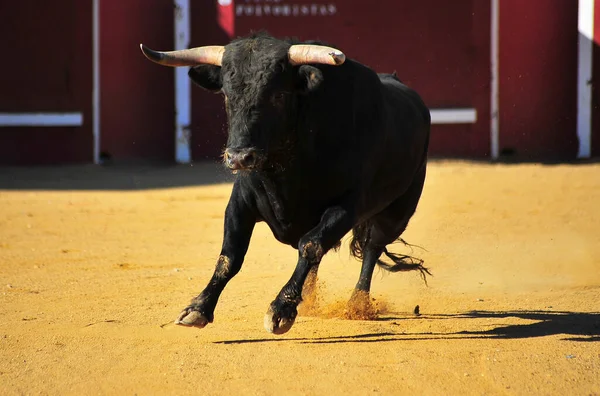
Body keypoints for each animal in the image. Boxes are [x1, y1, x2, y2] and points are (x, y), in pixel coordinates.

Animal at [141, 34, 432, 334]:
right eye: (226, 95)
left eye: (278, 95)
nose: (239, 157)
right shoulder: (240, 203)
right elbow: (230, 255)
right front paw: (198, 308)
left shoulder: (347, 206)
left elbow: (311, 245)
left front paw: (281, 309)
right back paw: (311, 300)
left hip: (398, 211)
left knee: (372, 248)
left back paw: (357, 304)